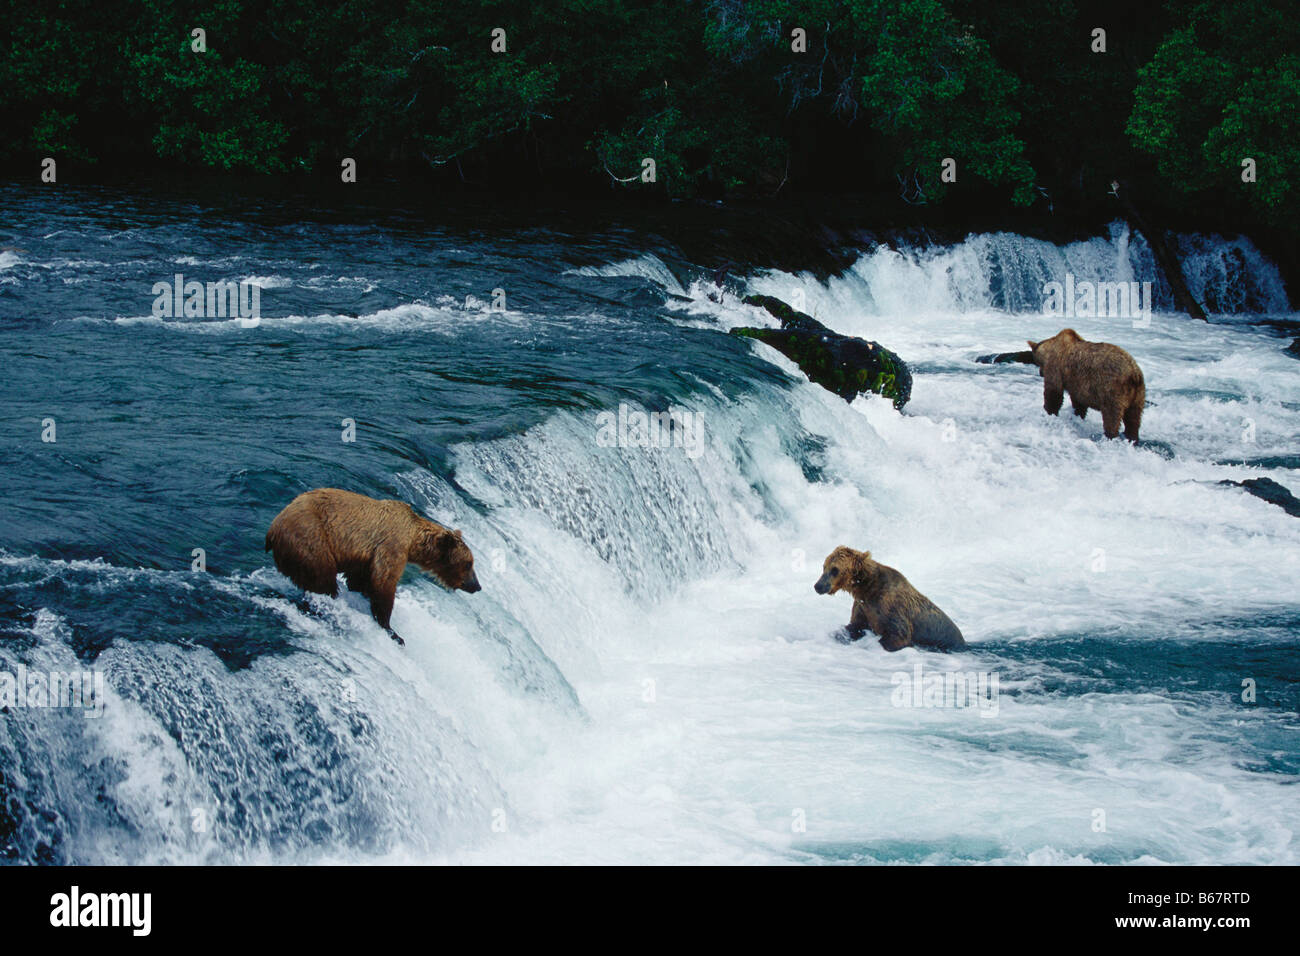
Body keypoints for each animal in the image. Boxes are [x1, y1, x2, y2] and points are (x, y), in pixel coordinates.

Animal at [261, 489, 480, 647]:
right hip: (310, 539)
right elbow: (383, 584)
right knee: (322, 578)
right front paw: (393, 631)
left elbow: (360, 580)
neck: (413, 541)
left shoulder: (363, 559)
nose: (476, 586)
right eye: (469, 563)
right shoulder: (391, 546)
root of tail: (272, 529)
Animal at [811, 548, 967, 655]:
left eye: (835, 569)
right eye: (824, 566)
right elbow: (855, 625)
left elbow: (898, 635)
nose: (818, 586)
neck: (866, 589)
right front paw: (839, 634)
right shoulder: (863, 607)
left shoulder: (891, 608)